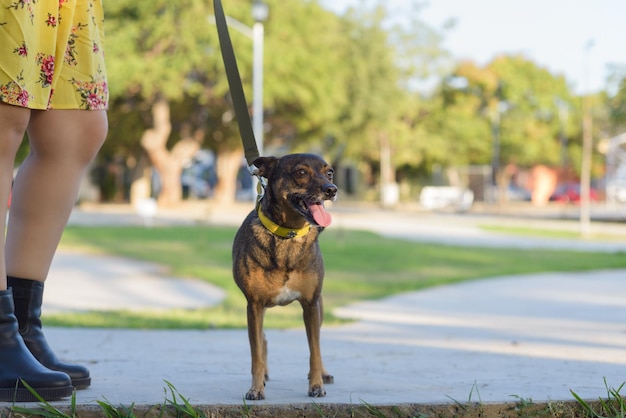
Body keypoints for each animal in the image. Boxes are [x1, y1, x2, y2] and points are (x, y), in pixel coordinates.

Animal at [230, 154, 336, 402]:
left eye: (329, 173)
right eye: (301, 172)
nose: (332, 189)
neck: (287, 236)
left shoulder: (310, 304)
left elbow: (314, 350)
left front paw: (316, 385)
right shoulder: (254, 305)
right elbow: (256, 354)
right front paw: (255, 388)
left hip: (319, 306)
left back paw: (324, 373)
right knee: (262, 340)